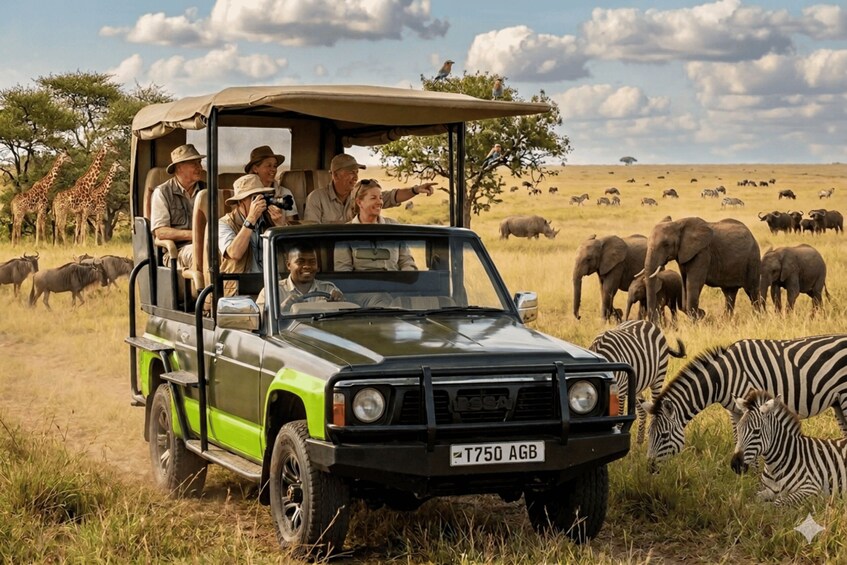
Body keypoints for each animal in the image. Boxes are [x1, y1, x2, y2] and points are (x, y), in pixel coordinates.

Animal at [644, 335, 847, 471]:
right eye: (649, 435)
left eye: (663, 436)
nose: (649, 469)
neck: (723, 378)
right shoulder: (734, 410)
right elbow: (738, 437)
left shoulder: (751, 404)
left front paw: (752, 474)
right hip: (837, 402)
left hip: (844, 396)